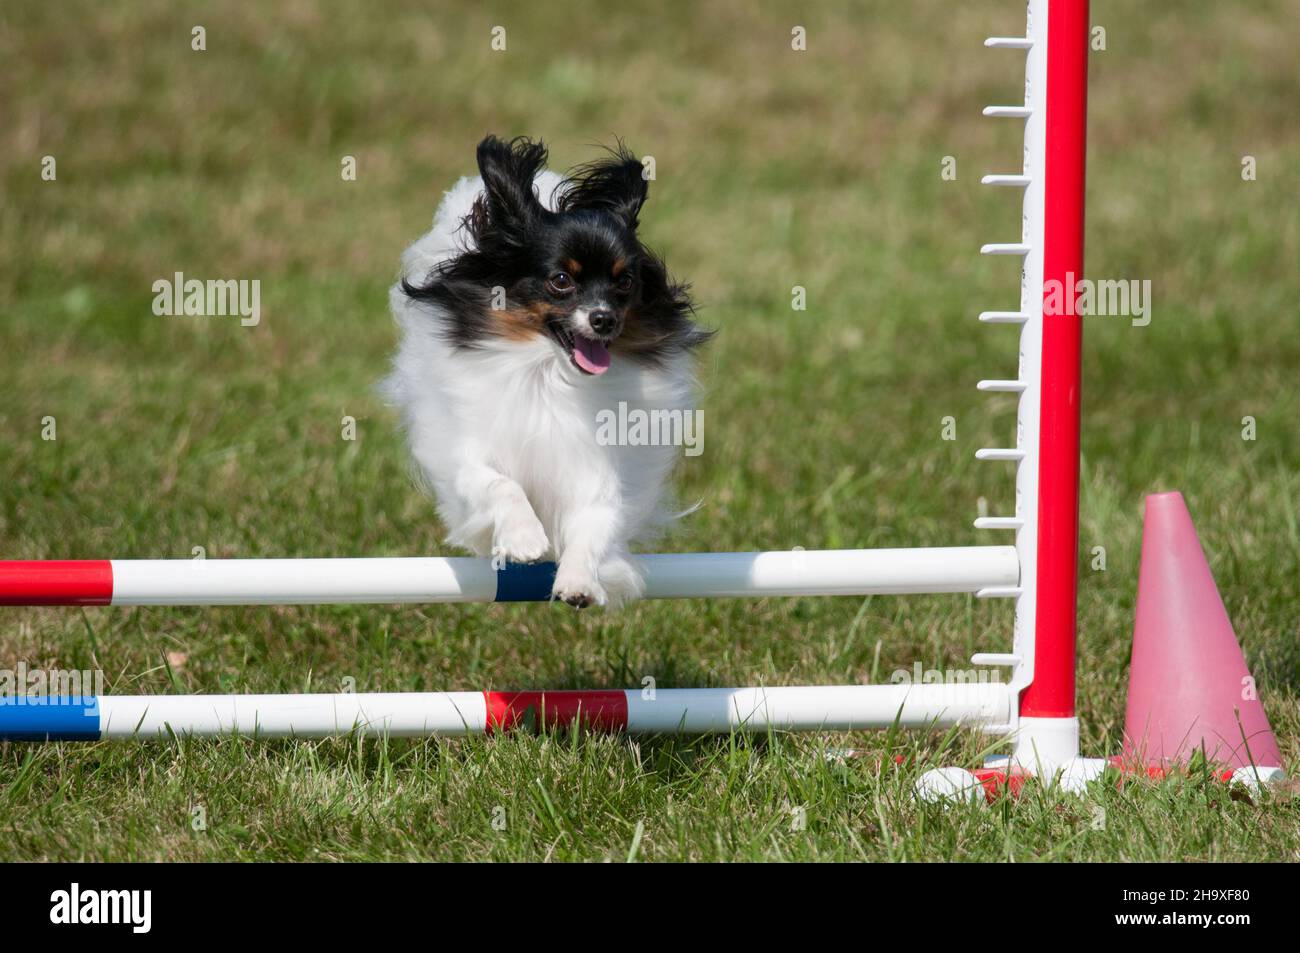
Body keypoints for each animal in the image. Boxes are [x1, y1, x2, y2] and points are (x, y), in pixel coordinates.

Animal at [384, 136, 712, 605]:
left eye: (625, 282)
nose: (604, 319)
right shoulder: (467, 458)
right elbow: (500, 484)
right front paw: (524, 538)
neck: (550, 374)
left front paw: (578, 580)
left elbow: (596, 522)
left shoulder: (602, 470)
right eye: (560, 280)